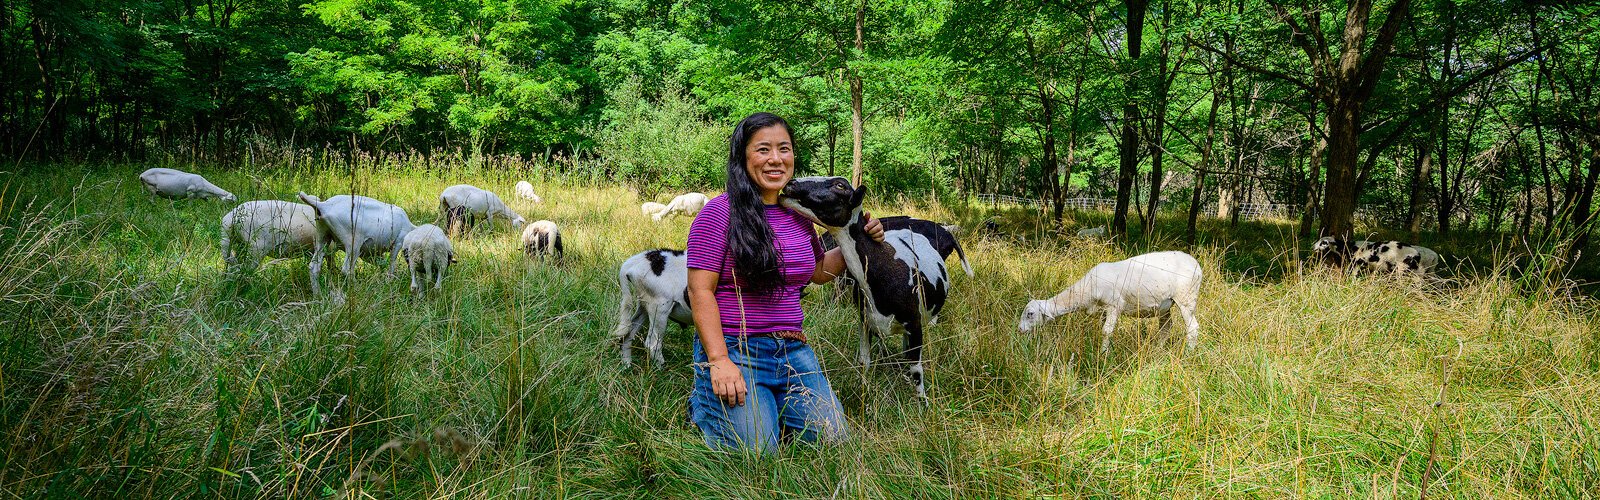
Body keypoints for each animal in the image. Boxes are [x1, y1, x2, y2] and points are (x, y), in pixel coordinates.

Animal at [780, 175, 953, 399]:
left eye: (840, 185)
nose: (791, 182)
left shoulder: (914, 324)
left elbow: (917, 370)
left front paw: (922, 401)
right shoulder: (865, 321)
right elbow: (864, 361)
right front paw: (863, 390)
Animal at [1017, 251, 1203, 354]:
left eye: (1030, 314)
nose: (1019, 330)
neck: (1086, 289)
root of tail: (1196, 264)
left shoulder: (1114, 306)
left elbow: (1106, 331)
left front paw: (1104, 354)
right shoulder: (1101, 311)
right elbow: (1103, 330)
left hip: (1186, 298)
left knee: (1192, 327)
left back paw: (1188, 353)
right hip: (1165, 304)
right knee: (1166, 328)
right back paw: (1158, 349)